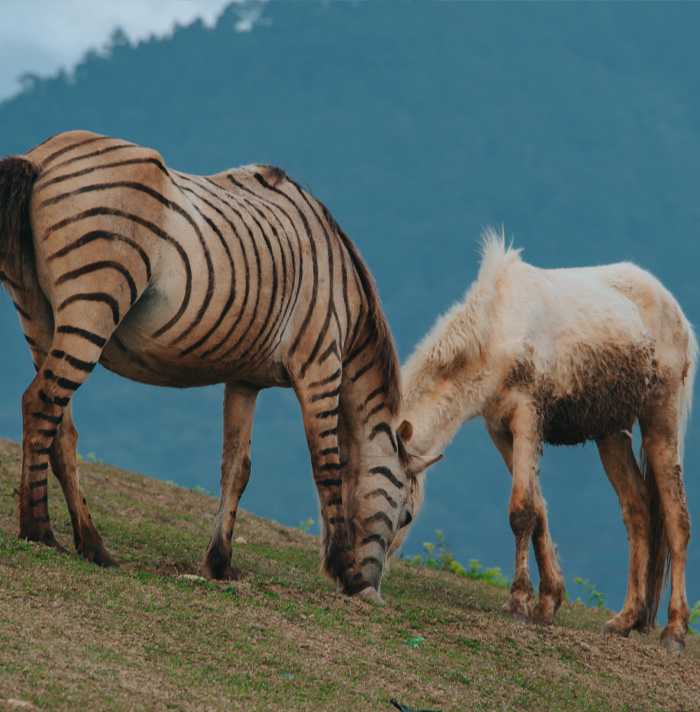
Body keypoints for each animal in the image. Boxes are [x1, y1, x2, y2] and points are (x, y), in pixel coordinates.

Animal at [391, 229, 696, 651]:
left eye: (405, 511)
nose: (372, 565)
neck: (497, 327)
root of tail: (678, 314)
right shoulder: (500, 429)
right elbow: (538, 510)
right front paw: (548, 603)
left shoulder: (527, 416)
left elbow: (521, 510)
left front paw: (518, 603)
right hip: (610, 435)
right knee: (638, 509)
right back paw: (625, 619)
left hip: (660, 421)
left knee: (676, 517)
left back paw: (674, 630)